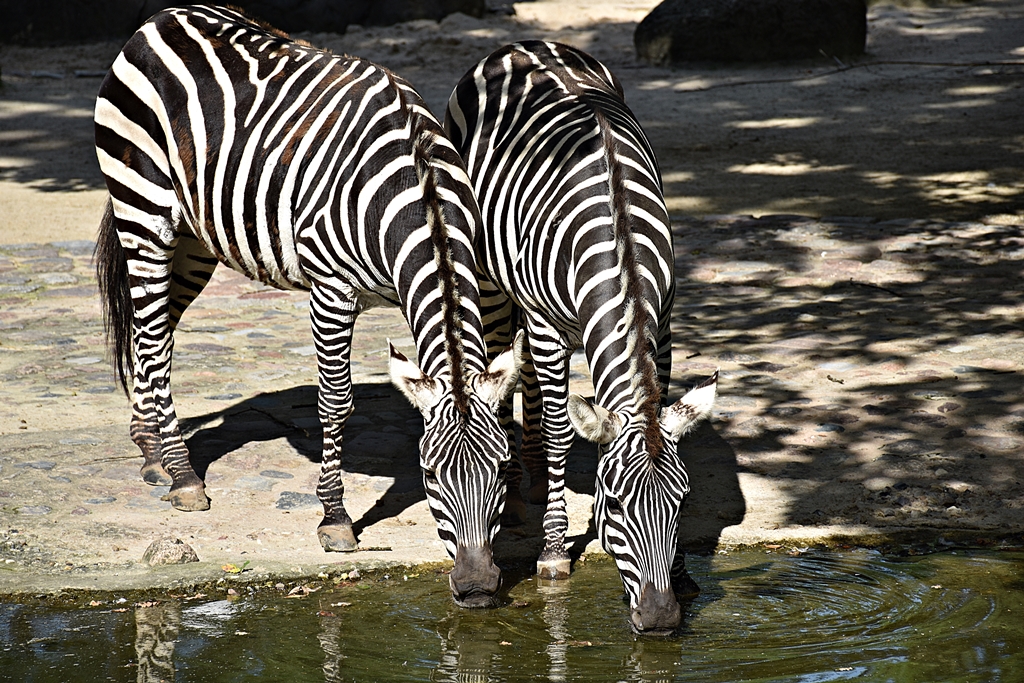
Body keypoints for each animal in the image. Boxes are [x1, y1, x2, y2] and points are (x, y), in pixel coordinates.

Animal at [93, 5, 522, 607]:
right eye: (429, 475)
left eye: (501, 472)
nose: (479, 589)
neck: (420, 196)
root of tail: (164, 16)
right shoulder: (331, 289)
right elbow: (335, 404)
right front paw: (335, 521)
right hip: (143, 212)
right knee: (153, 334)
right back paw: (183, 478)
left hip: (195, 238)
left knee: (152, 329)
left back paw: (152, 449)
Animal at [444, 41, 718, 632]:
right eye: (614, 506)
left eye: (683, 502)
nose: (659, 621)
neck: (621, 244)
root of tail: (523, 44)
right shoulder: (548, 328)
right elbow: (557, 432)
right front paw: (551, 551)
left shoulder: (662, 327)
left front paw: (683, 573)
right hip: (491, 279)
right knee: (504, 362)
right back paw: (515, 486)